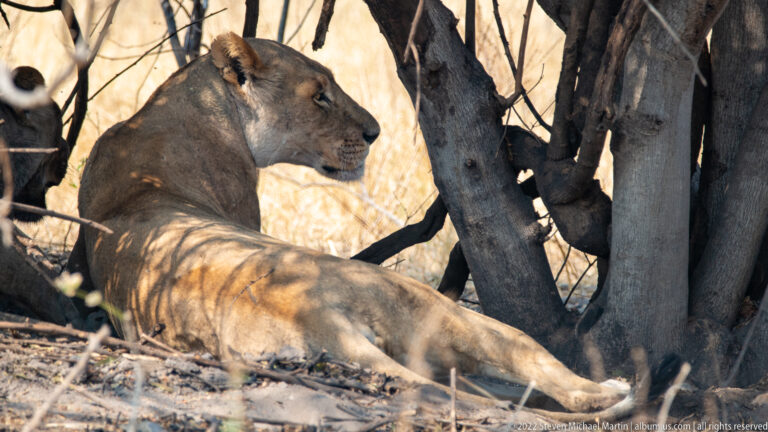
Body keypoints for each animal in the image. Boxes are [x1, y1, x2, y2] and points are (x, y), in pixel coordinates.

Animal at [73, 32, 634, 419]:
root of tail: (310, 312)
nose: (374, 132)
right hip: (432, 306)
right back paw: (614, 393)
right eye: (319, 95)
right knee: (540, 367)